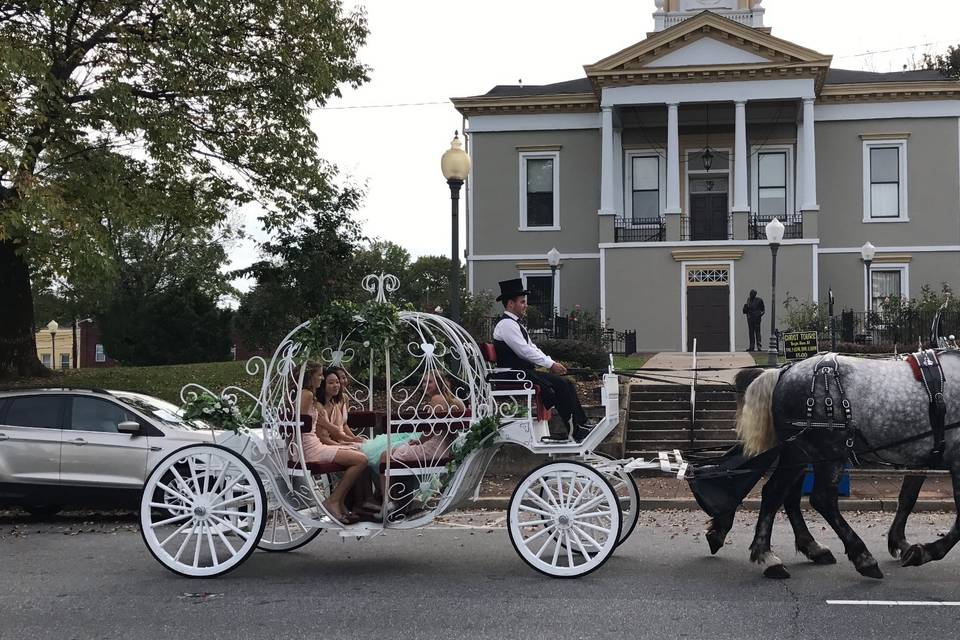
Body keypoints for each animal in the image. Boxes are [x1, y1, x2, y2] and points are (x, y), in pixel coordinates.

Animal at [728, 352, 960, 584]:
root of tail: (785, 371)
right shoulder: (956, 462)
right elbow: (959, 520)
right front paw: (924, 552)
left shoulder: (921, 460)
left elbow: (907, 499)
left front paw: (899, 542)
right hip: (830, 452)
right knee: (820, 499)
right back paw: (860, 557)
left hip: (799, 453)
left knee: (778, 493)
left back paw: (794, 551)